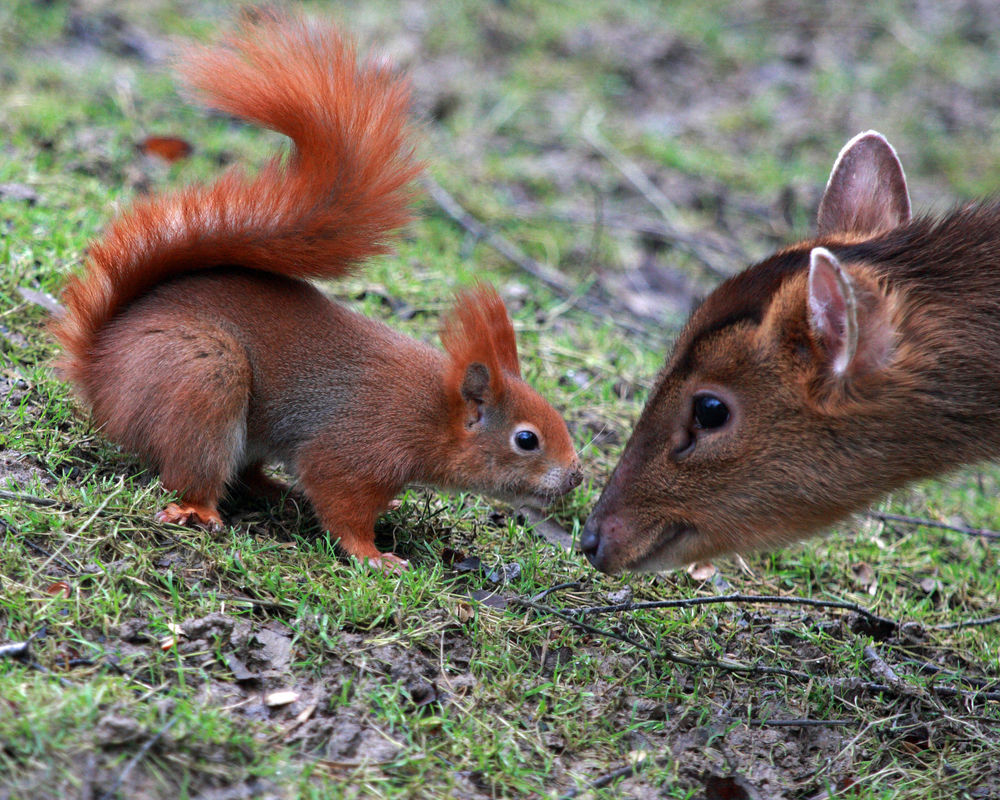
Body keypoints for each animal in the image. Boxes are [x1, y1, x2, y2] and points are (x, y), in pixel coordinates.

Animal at [54, 15, 584, 572]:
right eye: (526, 440)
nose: (577, 476)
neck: (431, 410)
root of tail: (98, 368)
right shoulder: (356, 448)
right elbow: (341, 505)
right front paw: (375, 556)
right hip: (203, 381)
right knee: (194, 468)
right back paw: (198, 509)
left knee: (245, 472)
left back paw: (278, 492)